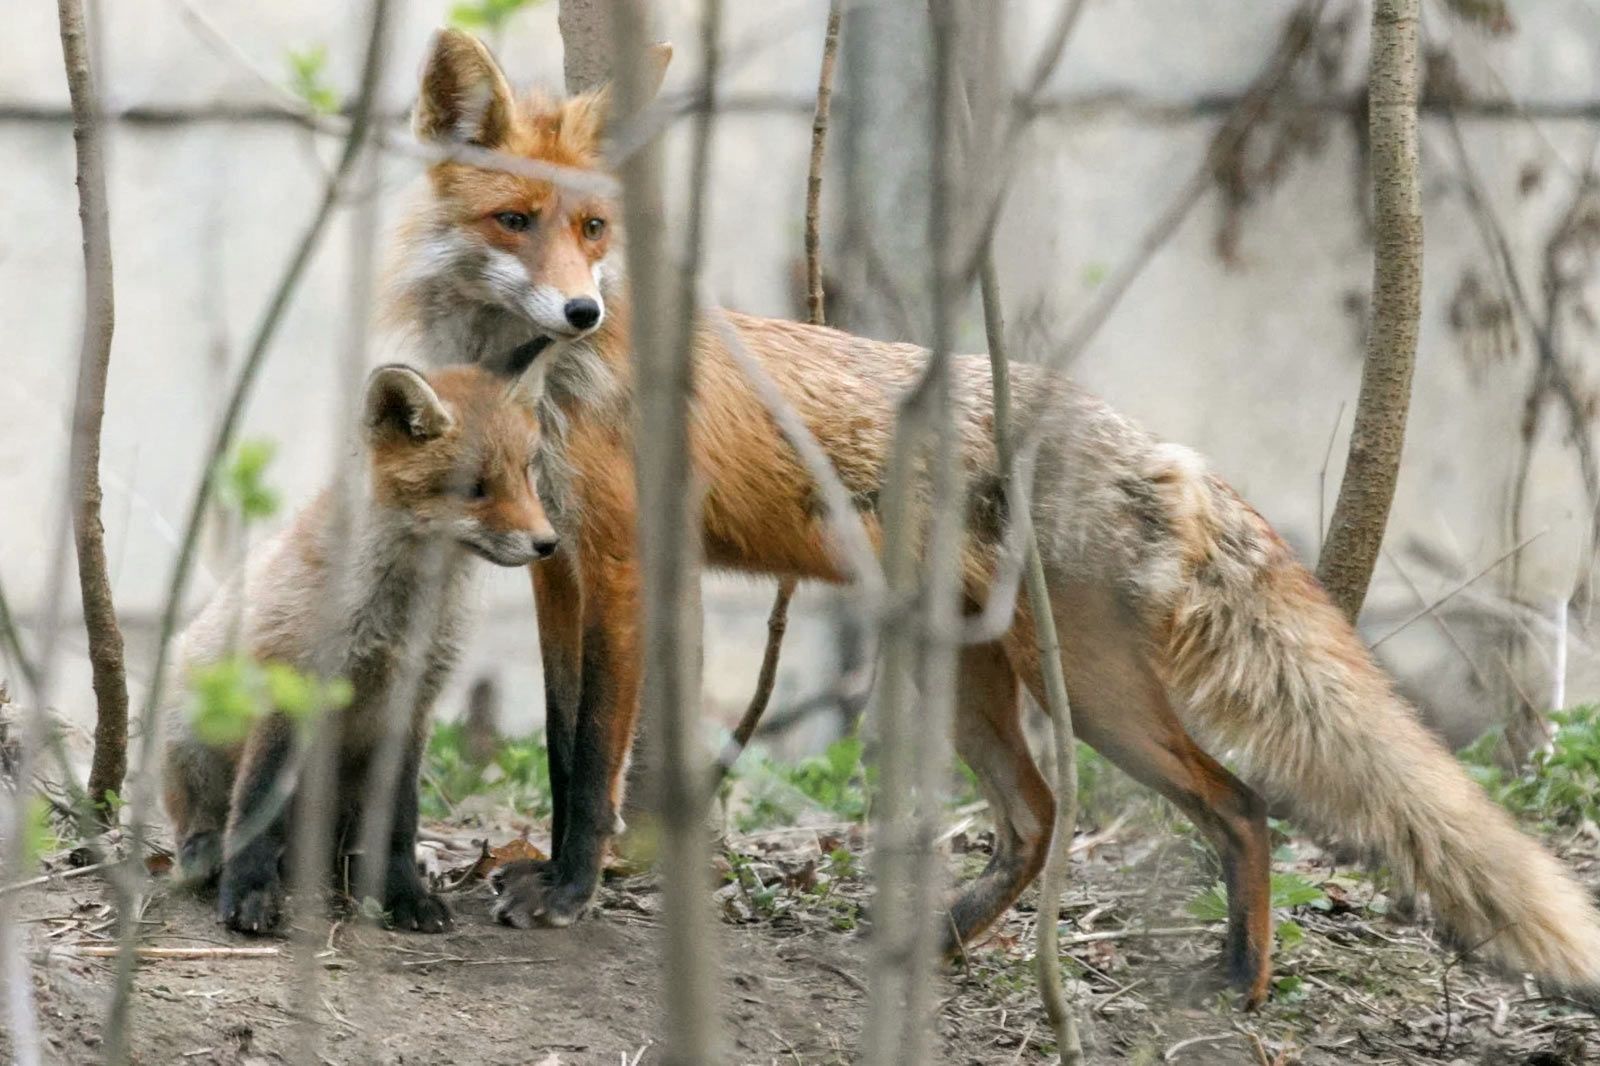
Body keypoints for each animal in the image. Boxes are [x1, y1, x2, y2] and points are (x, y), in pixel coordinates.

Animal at [163, 359, 557, 935]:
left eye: (528, 474)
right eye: (475, 487)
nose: (549, 543)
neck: (397, 622)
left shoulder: (412, 705)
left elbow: (399, 819)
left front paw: (405, 895)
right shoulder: (290, 686)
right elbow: (257, 801)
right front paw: (250, 892)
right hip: (190, 730)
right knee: (204, 818)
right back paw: (207, 852)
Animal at [384, 27, 1600, 1007]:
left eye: (594, 227)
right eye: (515, 219)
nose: (582, 310)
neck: (538, 390)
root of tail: (1165, 449)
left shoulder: (628, 564)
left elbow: (595, 757)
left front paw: (572, 889)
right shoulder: (558, 569)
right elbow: (558, 743)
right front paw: (543, 871)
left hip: (1097, 693)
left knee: (1240, 806)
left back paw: (1240, 984)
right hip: (972, 682)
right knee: (1041, 816)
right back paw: (952, 937)